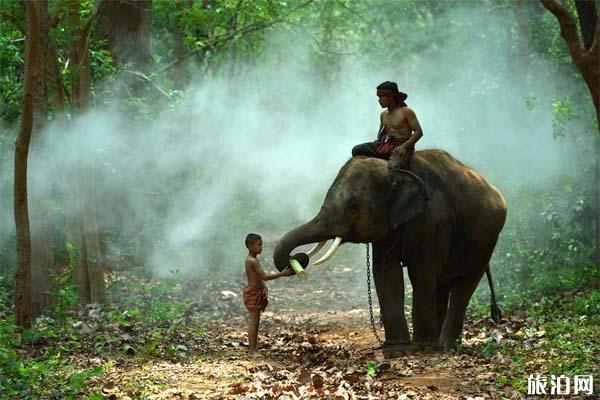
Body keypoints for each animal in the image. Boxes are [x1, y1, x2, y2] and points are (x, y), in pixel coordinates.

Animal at [276, 148, 506, 348]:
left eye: (353, 206)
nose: (298, 260)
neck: (395, 173)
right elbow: (385, 272)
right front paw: (397, 345)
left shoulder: (432, 221)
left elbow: (420, 272)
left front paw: (420, 345)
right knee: (441, 284)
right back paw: (437, 341)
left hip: (487, 241)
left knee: (464, 285)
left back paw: (444, 345)